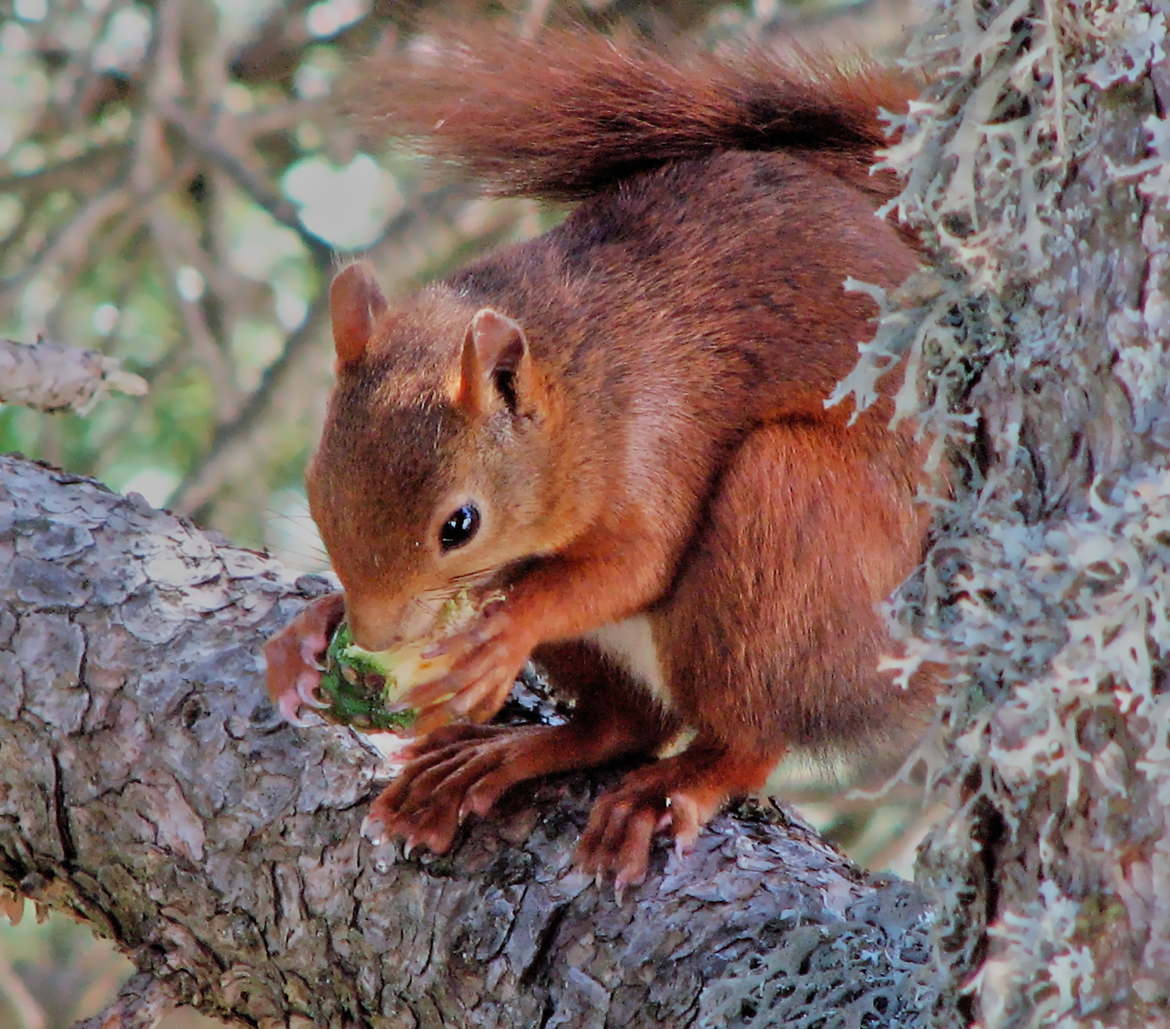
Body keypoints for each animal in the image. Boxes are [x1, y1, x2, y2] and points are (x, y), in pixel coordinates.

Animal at [263, 26, 931, 894]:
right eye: (317, 491)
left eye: (460, 524)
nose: (375, 632)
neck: (583, 385)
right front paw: (310, 634)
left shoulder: (657, 440)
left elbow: (637, 563)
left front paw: (505, 632)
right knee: (625, 725)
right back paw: (494, 759)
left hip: (792, 527)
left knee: (750, 730)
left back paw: (675, 786)